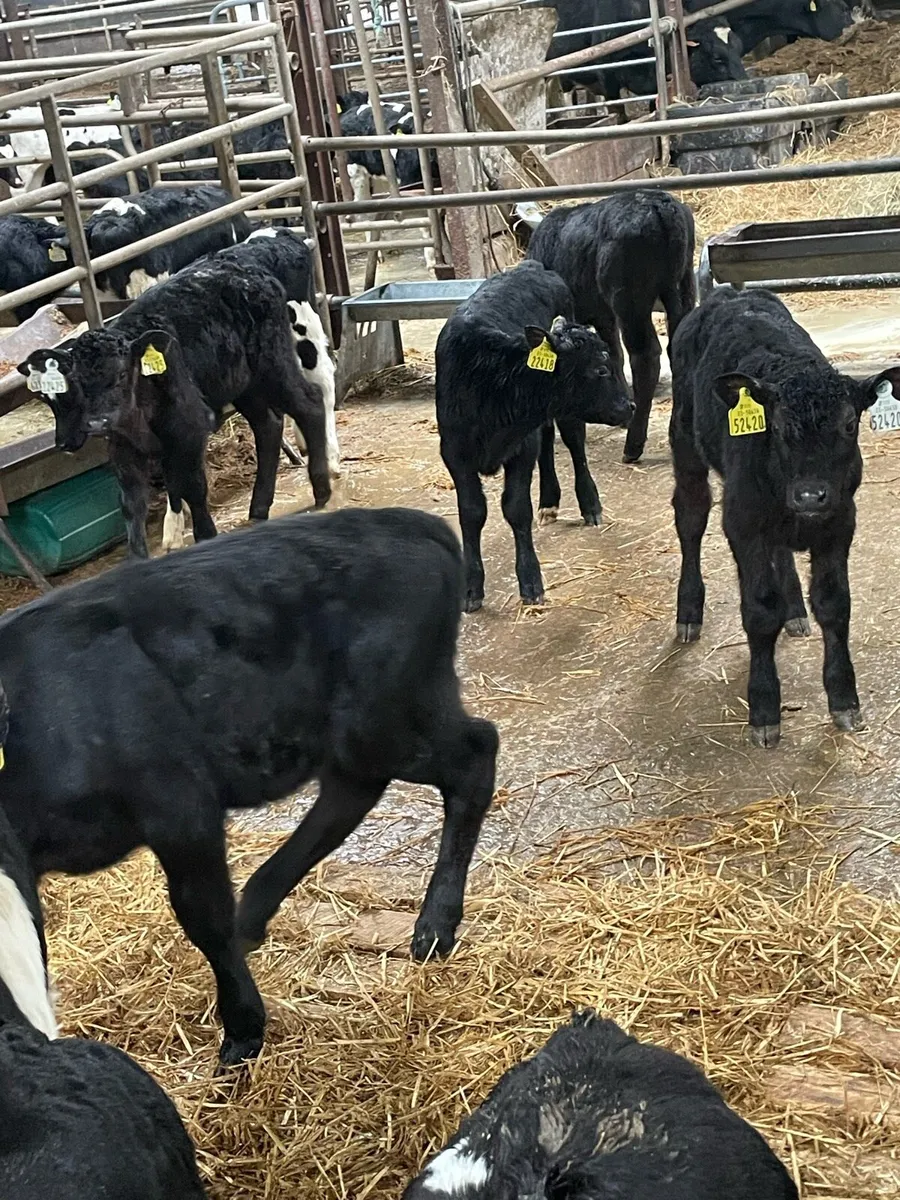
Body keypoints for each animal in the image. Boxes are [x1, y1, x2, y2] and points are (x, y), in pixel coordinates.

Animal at [0, 506, 499, 1064]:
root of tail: (414, 522)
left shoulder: (181, 804)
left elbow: (203, 916)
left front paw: (242, 1030)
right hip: (358, 730)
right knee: (352, 791)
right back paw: (256, 910)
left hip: (385, 715)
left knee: (474, 753)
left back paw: (435, 923)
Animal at [19, 258, 330, 557]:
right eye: (78, 382)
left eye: (122, 374)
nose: (97, 423)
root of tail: (250, 271)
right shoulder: (123, 446)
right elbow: (131, 504)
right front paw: (138, 557)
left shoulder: (188, 430)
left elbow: (193, 487)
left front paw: (205, 536)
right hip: (244, 384)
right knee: (268, 425)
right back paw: (259, 507)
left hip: (273, 363)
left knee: (310, 403)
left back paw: (322, 489)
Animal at [436, 260, 633, 611]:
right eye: (600, 369)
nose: (630, 406)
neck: (487, 379)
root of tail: (530, 265)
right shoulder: (455, 453)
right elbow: (471, 512)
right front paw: (471, 588)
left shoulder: (520, 448)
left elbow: (516, 509)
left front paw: (530, 581)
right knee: (548, 440)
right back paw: (549, 501)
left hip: (567, 415)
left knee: (573, 442)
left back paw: (589, 503)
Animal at [527, 190, 696, 464]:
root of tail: (659, 204)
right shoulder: (603, 315)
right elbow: (612, 353)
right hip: (681, 285)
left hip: (629, 299)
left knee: (645, 356)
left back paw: (633, 446)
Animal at [669, 286, 900, 747]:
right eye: (774, 426)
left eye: (850, 425)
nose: (810, 494)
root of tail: (727, 295)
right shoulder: (742, 521)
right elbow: (759, 611)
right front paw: (763, 706)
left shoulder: (840, 521)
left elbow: (835, 604)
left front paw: (844, 698)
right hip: (685, 444)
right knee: (690, 518)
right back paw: (688, 612)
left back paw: (794, 609)